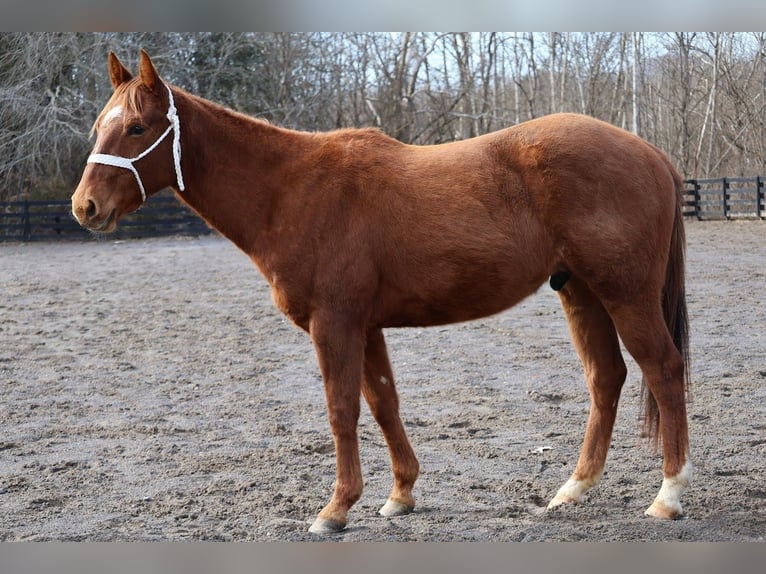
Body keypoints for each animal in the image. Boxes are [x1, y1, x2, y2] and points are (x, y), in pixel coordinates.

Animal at [72, 50, 692, 534]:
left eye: (136, 128)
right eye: (99, 126)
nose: (85, 208)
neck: (293, 191)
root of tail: (653, 154)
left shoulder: (335, 324)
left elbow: (341, 409)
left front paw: (336, 509)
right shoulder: (366, 326)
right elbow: (383, 403)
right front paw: (400, 496)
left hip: (625, 293)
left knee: (663, 369)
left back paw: (667, 496)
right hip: (580, 291)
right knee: (606, 377)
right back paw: (573, 489)